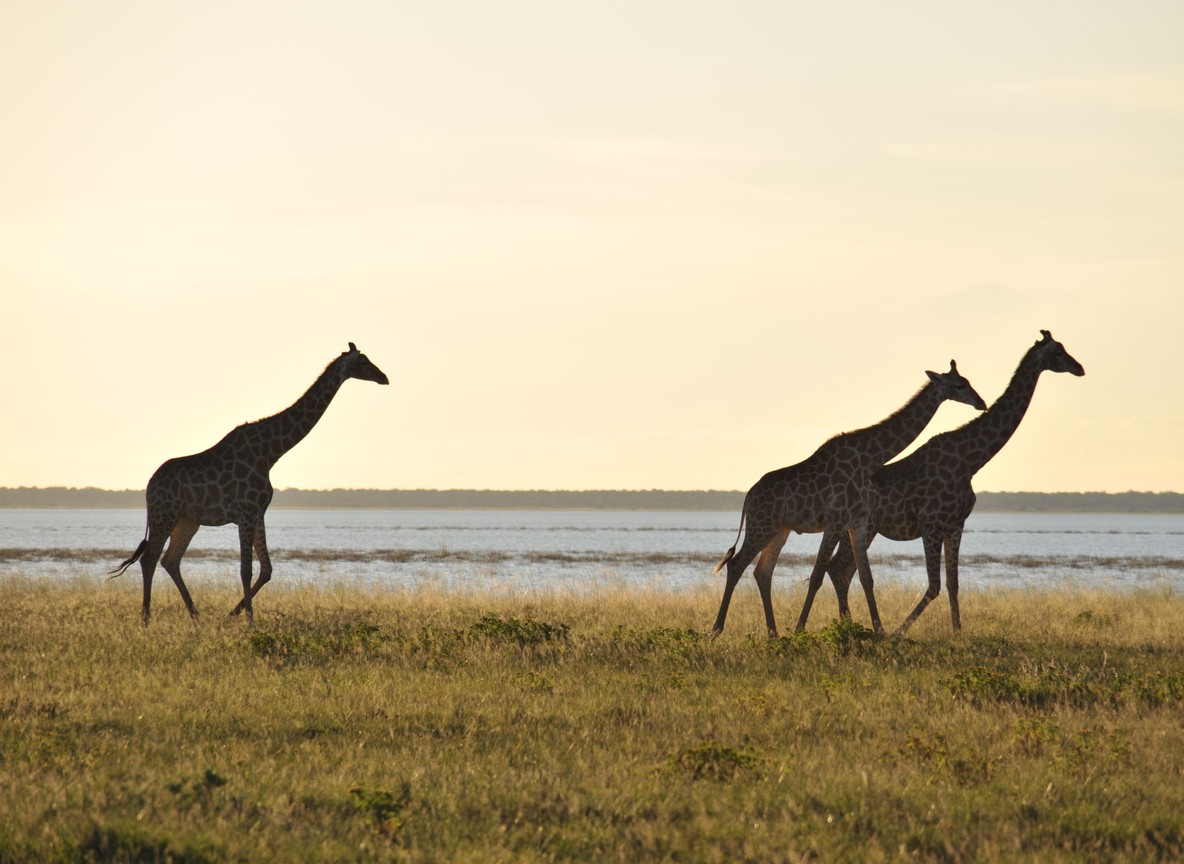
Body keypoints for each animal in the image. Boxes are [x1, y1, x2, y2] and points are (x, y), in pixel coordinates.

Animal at [110, 343, 389, 624]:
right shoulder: (245, 513)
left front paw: (231, 616)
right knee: (149, 559)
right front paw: (250, 622)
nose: (384, 378)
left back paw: (196, 618)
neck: (270, 453)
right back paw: (146, 620)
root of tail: (149, 486)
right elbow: (246, 569)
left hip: (187, 520)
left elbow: (266, 569)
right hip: (164, 515)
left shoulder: (258, 513)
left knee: (170, 560)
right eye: (362, 361)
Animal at [711, 361, 987, 637]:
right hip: (761, 527)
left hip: (779, 530)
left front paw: (879, 631)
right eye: (959, 385)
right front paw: (800, 630)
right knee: (736, 565)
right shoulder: (835, 521)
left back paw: (773, 633)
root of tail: (748, 497)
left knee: (762, 572)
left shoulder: (858, 522)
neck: (869, 460)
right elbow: (817, 576)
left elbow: (866, 578)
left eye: (968, 381)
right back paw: (717, 629)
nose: (981, 403)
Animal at [824, 330, 1084, 635]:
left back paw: (851, 624)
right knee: (839, 568)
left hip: (862, 530)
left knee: (843, 569)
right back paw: (857, 627)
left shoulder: (956, 525)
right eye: (1057, 351)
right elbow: (934, 586)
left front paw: (958, 632)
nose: (1080, 368)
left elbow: (953, 584)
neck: (970, 462)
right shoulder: (931, 524)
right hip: (860, 528)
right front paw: (899, 632)